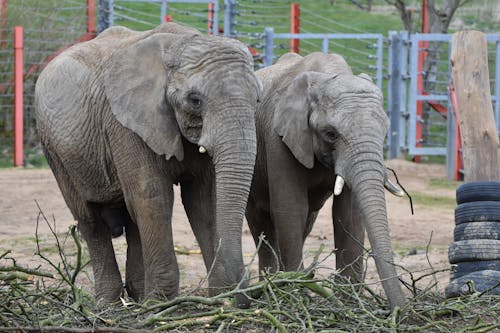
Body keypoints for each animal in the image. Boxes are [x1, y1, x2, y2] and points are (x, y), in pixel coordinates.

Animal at [34, 22, 260, 304]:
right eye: (195, 100)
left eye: (258, 99)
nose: (244, 296)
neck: (179, 43)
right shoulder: (124, 124)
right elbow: (152, 196)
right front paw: (161, 304)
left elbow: (202, 200)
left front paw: (218, 298)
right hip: (55, 149)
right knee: (90, 219)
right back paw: (110, 303)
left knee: (132, 218)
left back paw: (138, 298)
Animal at [246, 52, 406, 308]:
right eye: (331, 134)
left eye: (384, 133)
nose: (401, 308)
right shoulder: (279, 137)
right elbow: (291, 208)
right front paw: (296, 297)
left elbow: (348, 213)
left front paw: (349, 302)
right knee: (261, 221)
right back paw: (271, 290)